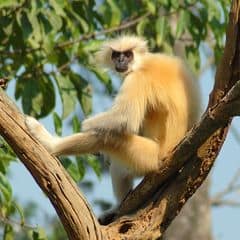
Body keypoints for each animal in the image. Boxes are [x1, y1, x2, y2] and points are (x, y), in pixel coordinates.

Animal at [25, 35, 200, 203]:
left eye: (128, 55)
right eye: (116, 55)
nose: (121, 61)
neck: (143, 63)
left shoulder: (137, 78)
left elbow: (125, 118)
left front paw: (85, 125)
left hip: (149, 158)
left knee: (107, 137)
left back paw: (50, 142)